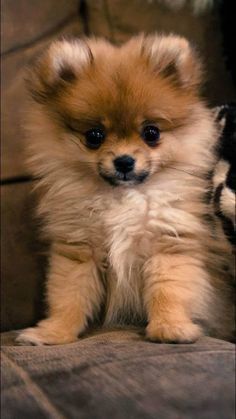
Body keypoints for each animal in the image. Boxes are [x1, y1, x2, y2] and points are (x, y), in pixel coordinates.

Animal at [17, 35, 234, 344]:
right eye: (94, 136)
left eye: (151, 133)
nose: (124, 161)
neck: (123, 198)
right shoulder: (79, 252)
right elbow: (68, 297)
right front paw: (53, 332)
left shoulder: (169, 245)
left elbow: (168, 291)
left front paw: (170, 327)